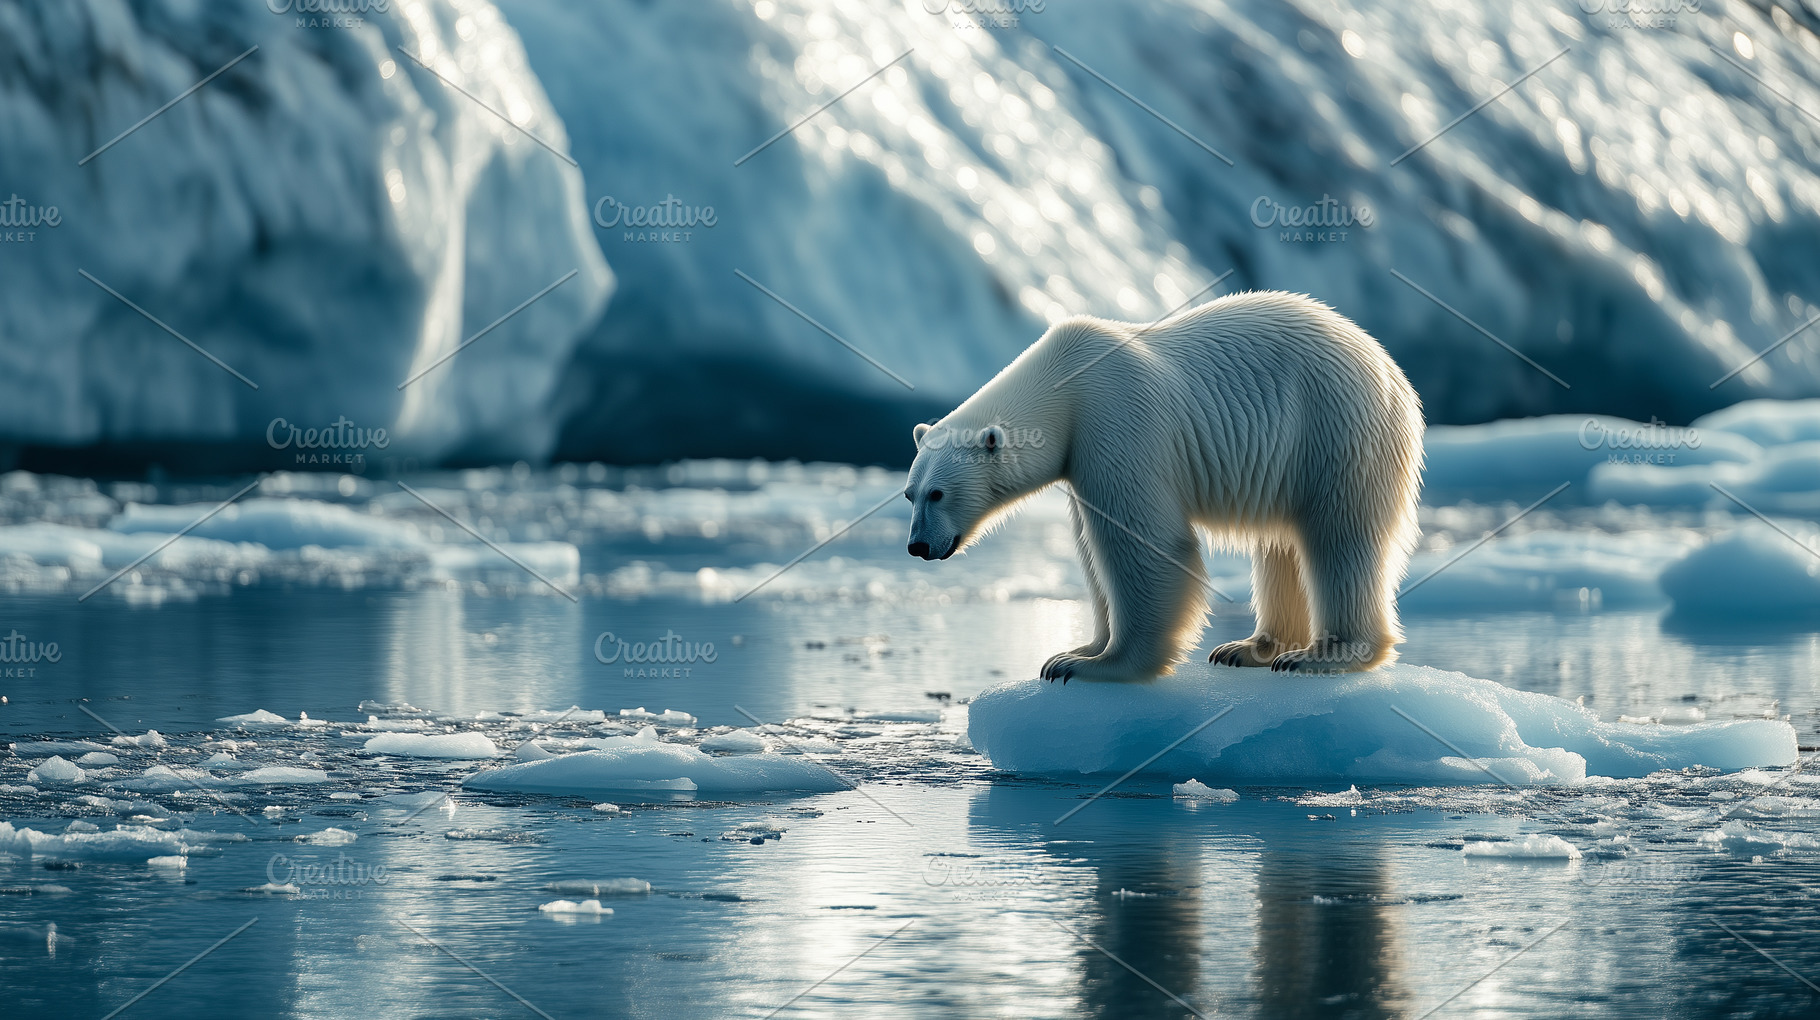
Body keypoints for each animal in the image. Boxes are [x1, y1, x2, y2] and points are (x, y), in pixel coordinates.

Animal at [904, 290, 1424, 682]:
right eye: (910, 494)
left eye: (938, 493)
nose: (917, 546)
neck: (1064, 386)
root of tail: (1392, 372)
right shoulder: (1079, 456)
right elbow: (1090, 548)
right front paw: (1077, 648)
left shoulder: (1116, 421)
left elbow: (1143, 542)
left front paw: (1091, 665)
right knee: (1281, 543)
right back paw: (1248, 648)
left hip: (1334, 430)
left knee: (1339, 537)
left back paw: (1319, 655)